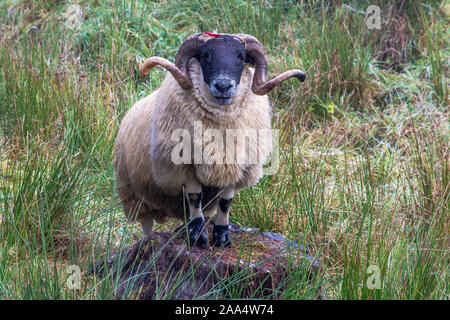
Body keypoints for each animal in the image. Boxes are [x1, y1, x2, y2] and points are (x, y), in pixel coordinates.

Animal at [113, 31, 306, 248]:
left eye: (241, 58)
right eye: (205, 56)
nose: (223, 86)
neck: (221, 127)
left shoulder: (236, 166)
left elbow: (226, 202)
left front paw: (222, 236)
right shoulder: (185, 166)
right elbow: (194, 198)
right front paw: (199, 237)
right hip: (133, 193)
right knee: (146, 220)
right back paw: (148, 244)